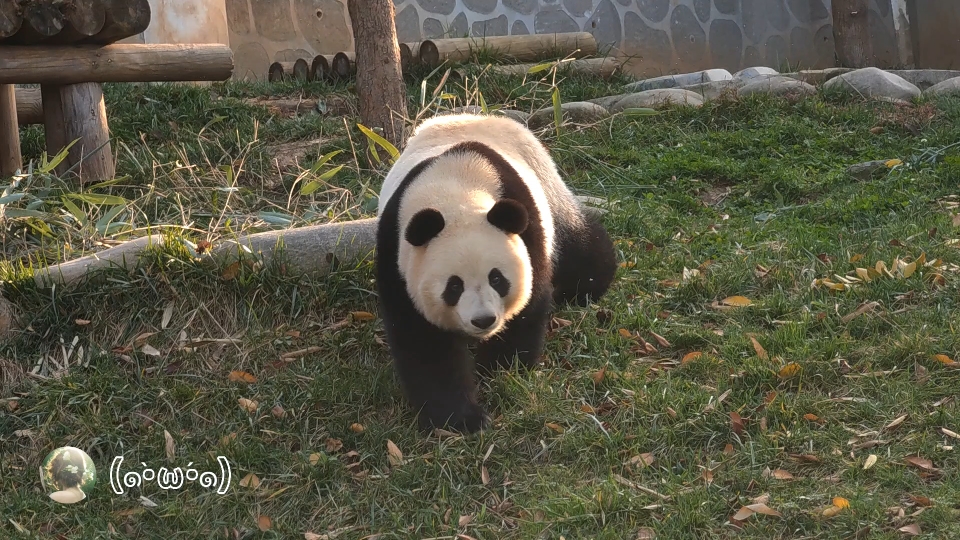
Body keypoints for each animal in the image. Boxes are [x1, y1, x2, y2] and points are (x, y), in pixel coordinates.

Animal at [376, 112, 616, 432]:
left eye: (497, 278)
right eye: (454, 286)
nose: (483, 320)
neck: (453, 187)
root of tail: (475, 115)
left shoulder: (525, 225)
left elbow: (528, 304)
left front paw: (500, 371)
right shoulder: (396, 250)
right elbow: (422, 340)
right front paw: (461, 418)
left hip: (548, 186)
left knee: (580, 250)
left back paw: (588, 285)